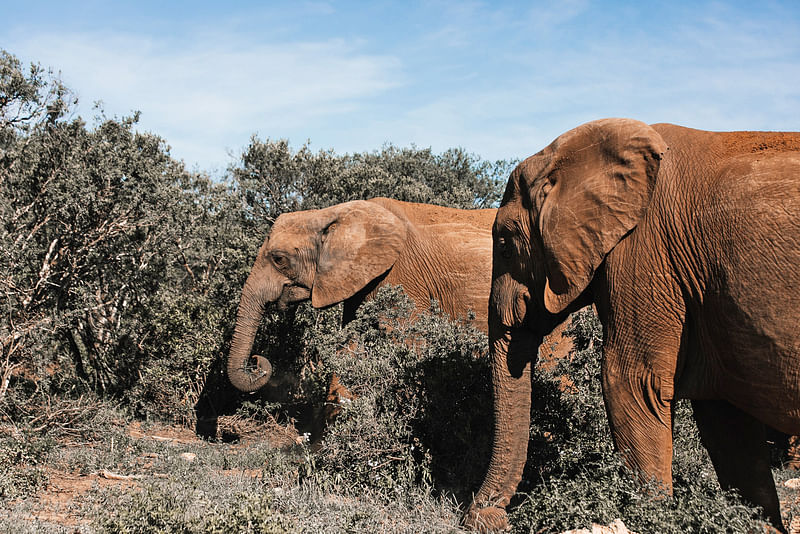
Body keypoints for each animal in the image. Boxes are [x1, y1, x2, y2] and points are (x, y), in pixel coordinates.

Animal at [466, 119, 800, 532]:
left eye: (504, 245)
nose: (483, 517)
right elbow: (725, 422)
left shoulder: (645, 251)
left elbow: (630, 382)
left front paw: (653, 518)